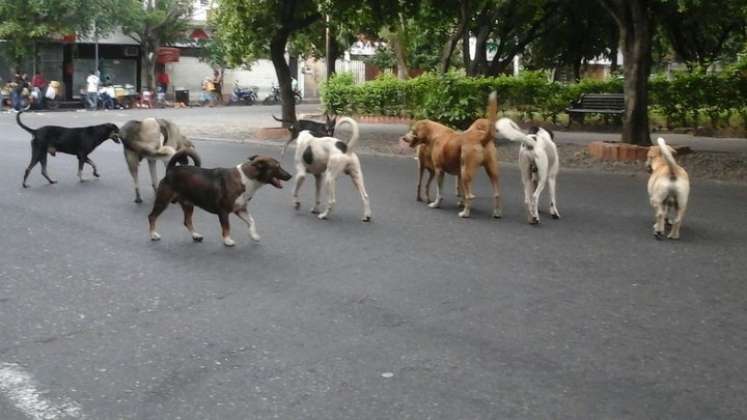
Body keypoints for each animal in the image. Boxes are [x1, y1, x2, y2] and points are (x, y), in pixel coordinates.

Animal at [148, 149, 292, 246]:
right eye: (277, 166)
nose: (290, 176)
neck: (246, 178)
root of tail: (170, 170)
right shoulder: (223, 211)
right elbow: (226, 227)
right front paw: (227, 240)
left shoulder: (240, 209)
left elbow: (252, 221)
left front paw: (253, 235)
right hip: (163, 201)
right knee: (152, 216)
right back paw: (153, 235)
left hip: (188, 204)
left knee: (187, 221)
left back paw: (196, 235)